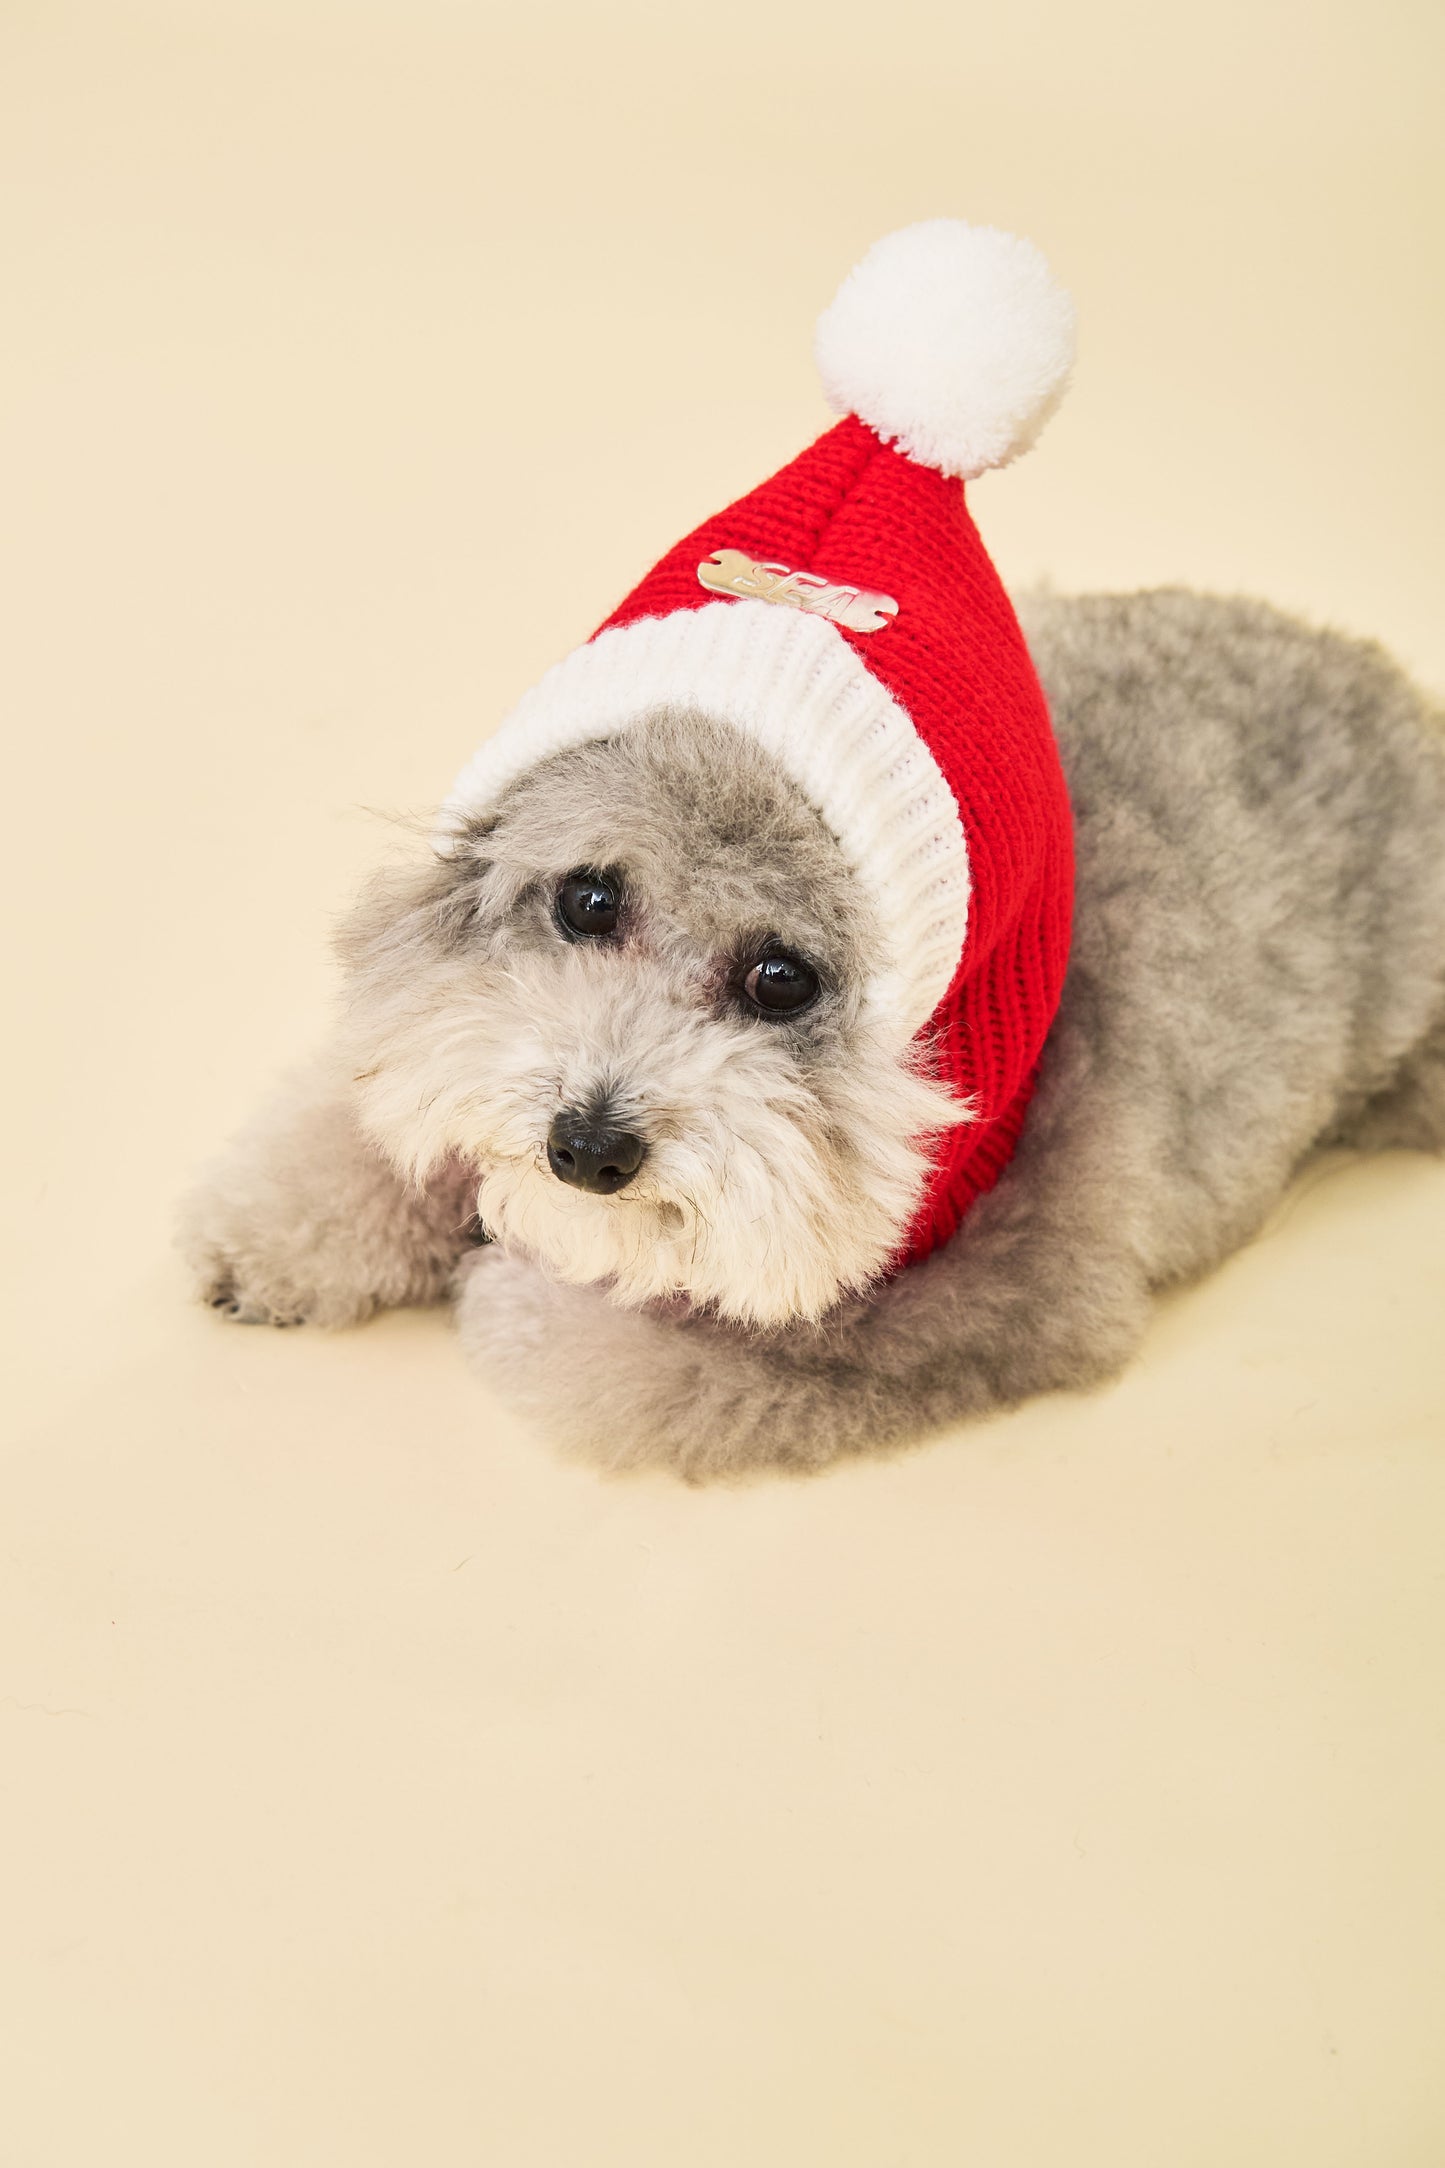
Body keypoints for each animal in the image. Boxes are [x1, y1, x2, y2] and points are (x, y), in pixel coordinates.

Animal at [180, 581, 1445, 1474]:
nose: (585, 1147)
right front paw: (283, 1234)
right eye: (587, 899)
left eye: (780, 980)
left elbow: (652, 1363)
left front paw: (516, 1289)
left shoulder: (993, 1296)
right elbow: (390, 1105)